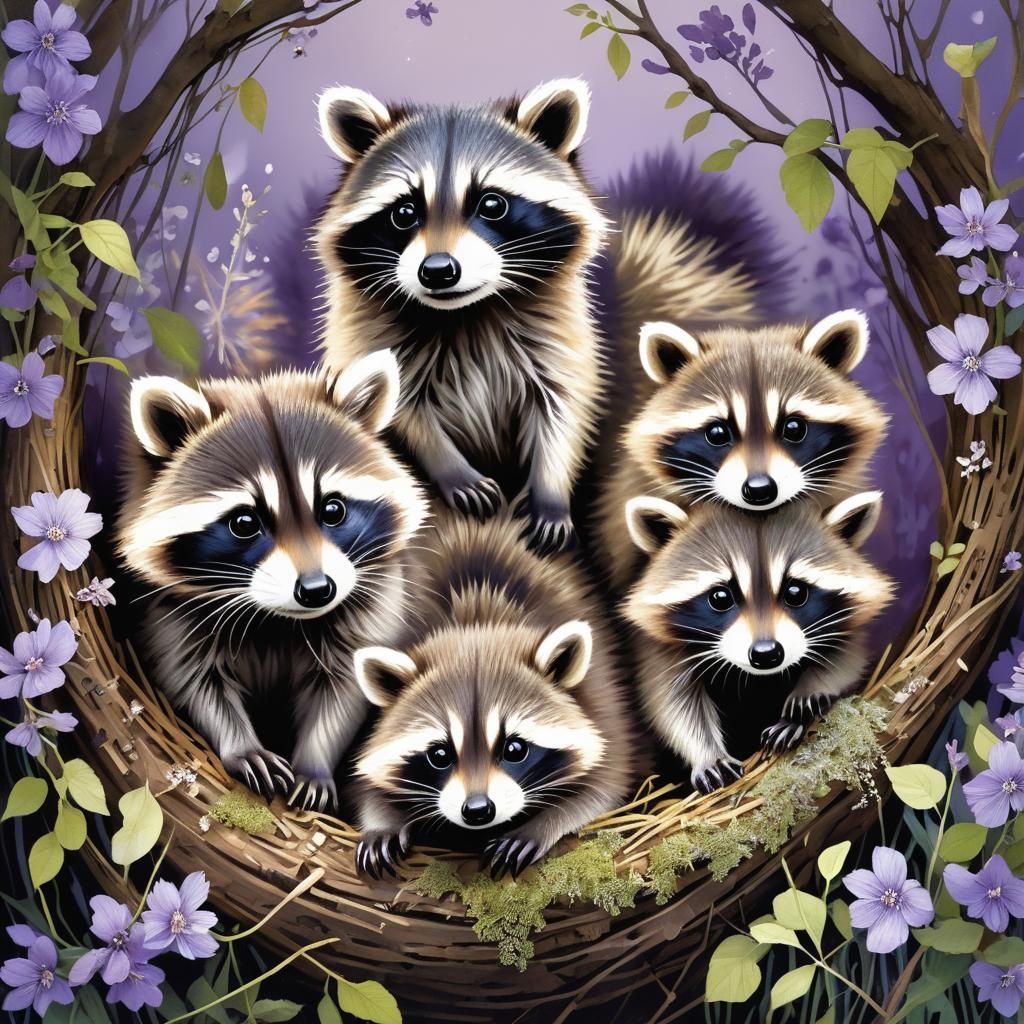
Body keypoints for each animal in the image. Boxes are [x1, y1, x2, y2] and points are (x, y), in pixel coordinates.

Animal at [117, 352, 427, 811]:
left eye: (332, 509)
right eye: (245, 523)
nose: (317, 591)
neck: (277, 618)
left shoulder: (375, 601)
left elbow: (343, 689)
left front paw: (315, 761)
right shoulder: (175, 611)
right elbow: (196, 681)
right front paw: (241, 746)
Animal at [314, 79, 608, 555]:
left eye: (492, 204)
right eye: (404, 212)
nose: (437, 270)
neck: (466, 313)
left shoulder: (557, 329)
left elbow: (562, 404)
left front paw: (550, 491)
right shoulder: (365, 327)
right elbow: (404, 412)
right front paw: (452, 468)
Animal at [349, 506, 635, 879]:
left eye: (515, 749)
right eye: (439, 754)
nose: (477, 810)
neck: (479, 622)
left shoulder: (601, 698)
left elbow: (605, 782)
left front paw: (542, 825)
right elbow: (368, 778)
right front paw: (381, 821)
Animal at [622, 490, 893, 793]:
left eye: (795, 592)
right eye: (720, 597)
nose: (766, 654)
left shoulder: (844, 626)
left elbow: (846, 662)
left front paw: (807, 697)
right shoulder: (663, 647)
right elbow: (673, 703)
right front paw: (707, 754)